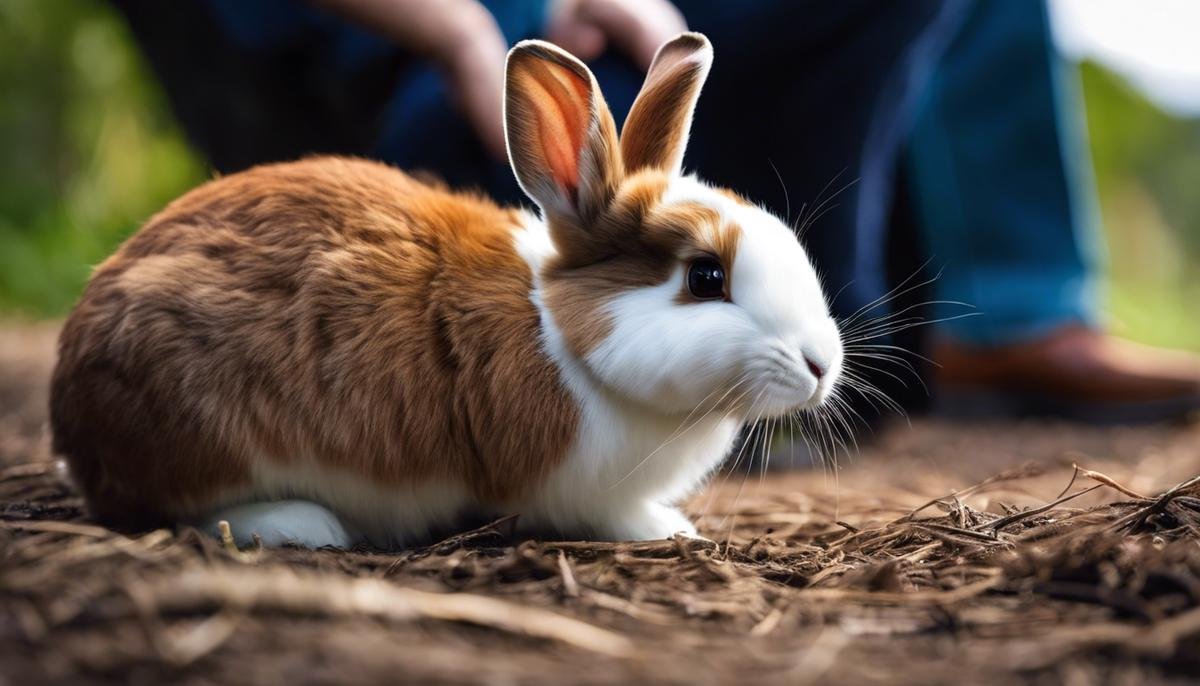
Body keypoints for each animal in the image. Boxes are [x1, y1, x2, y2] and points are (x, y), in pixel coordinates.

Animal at [49, 32, 844, 549]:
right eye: (706, 277)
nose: (822, 366)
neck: (567, 342)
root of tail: (71, 412)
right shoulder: (577, 487)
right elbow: (610, 516)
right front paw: (667, 530)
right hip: (207, 436)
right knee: (182, 511)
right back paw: (305, 527)